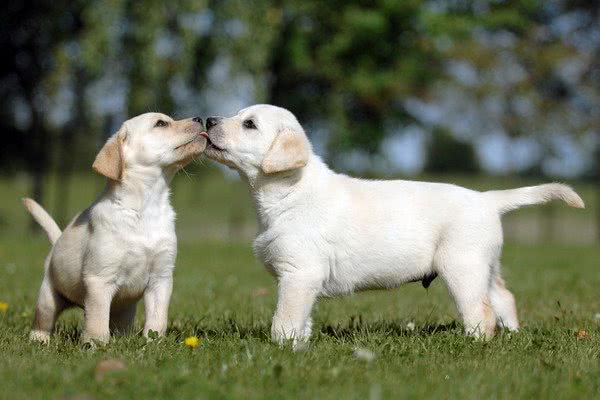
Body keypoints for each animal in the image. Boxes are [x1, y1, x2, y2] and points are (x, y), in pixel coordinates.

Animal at [24, 112, 206, 344]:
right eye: (161, 123)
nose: (200, 118)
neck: (146, 206)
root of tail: (56, 243)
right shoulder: (100, 280)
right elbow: (97, 319)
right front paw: (95, 344)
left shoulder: (161, 278)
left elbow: (158, 318)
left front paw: (153, 342)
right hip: (48, 295)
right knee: (43, 321)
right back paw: (40, 340)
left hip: (125, 309)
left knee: (120, 324)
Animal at [203, 104, 584, 348]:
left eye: (249, 124)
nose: (207, 119)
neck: (289, 192)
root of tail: (487, 199)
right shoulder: (303, 279)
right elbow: (303, 318)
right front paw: (301, 343)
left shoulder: (299, 273)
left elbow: (284, 317)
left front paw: (280, 347)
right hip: (486, 266)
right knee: (504, 297)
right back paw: (515, 336)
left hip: (463, 267)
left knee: (481, 311)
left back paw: (474, 343)